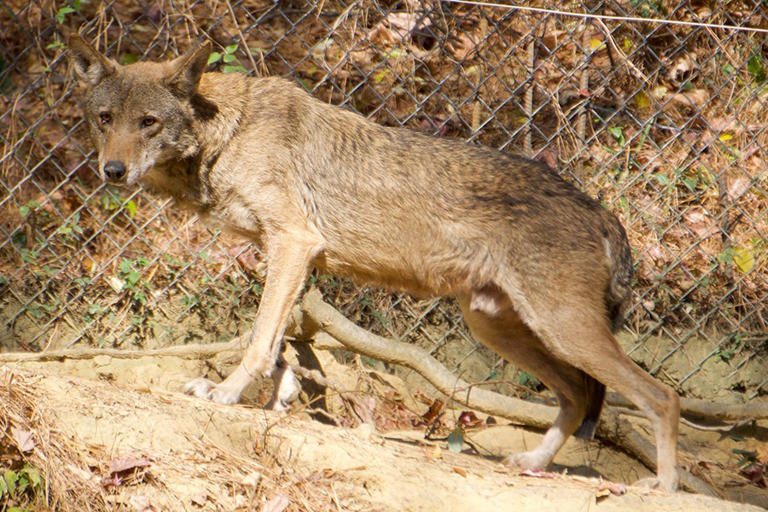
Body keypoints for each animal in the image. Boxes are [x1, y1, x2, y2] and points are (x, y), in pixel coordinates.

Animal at [68, 34, 680, 491]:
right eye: (104, 118)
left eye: (148, 122)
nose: (112, 171)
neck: (230, 132)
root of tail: (602, 211)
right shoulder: (289, 255)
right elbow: (281, 340)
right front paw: (277, 397)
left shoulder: (294, 243)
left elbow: (260, 338)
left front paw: (230, 393)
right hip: (498, 327)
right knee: (577, 396)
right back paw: (532, 464)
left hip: (561, 329)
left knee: (657, 397)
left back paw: (664, 487)